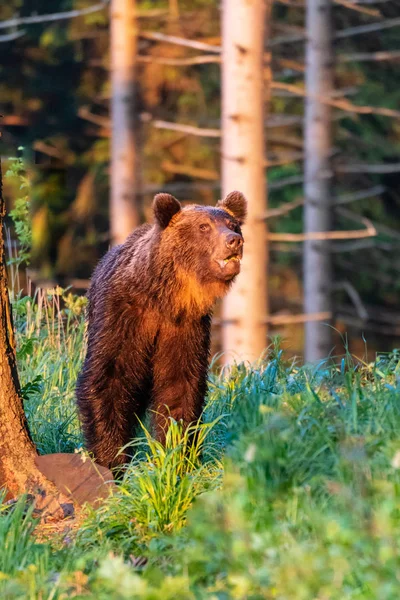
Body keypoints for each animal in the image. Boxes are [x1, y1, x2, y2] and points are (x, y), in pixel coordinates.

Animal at [74, 191, 244, 468]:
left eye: (232, 224)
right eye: (203, 227)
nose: (234, 240)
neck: (164, 298)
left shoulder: (185, 328)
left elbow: (179, 387)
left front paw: (177, 454)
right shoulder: (122, 318)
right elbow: (108, 380)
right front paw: (111, 459)